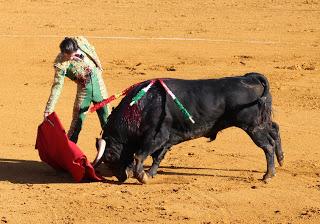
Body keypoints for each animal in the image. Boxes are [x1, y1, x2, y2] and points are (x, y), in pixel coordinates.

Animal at [95, 72, 284, 183]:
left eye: (109, 156)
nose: (121, 178)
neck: (142, 105)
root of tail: (250, 78)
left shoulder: (156, 137)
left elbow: (140, 155)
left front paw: (142, 176)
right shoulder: (167, 139)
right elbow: (157, 157)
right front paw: (150, 174)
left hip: (253, 126)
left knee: (267, 145)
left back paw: (268, 175)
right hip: (262, 122)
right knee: (275, 129)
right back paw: (281, 160)